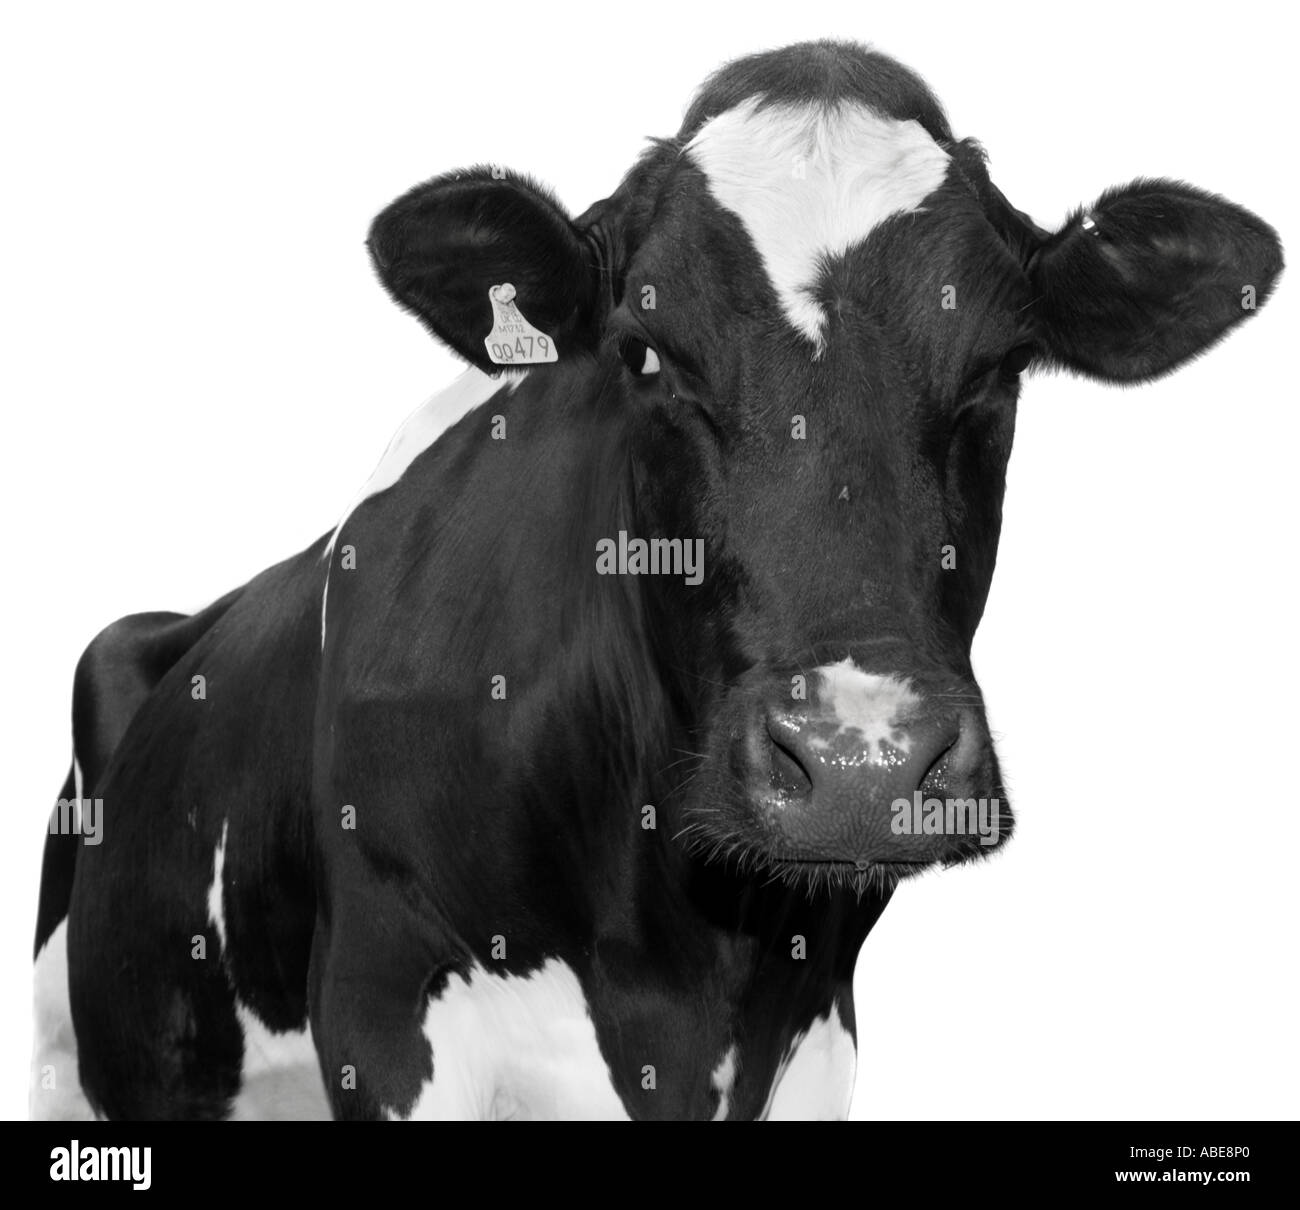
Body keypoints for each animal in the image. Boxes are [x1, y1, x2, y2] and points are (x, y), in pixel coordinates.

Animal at [31, 38, 1282, 1121]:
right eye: (647, 352)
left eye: (1001, 366)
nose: (858, 762)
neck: (685, 960)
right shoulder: (383, 1007)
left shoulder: (815, 1035)